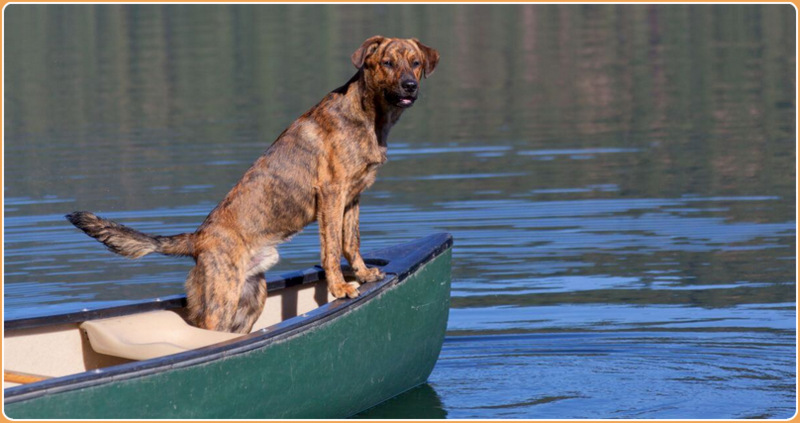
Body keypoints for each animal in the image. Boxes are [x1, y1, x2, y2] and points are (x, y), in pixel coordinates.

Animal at [65, 36, 440, 334]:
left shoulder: (353, 198)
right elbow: (332, 249)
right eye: (387, 63)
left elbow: (352, 242)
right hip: (222, 302)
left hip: (251, 297)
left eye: (415, 63)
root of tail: (197, 239)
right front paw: (340, 288)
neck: (368, 114)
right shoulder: (332, 194)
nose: (410, 85)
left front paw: (363, 274)